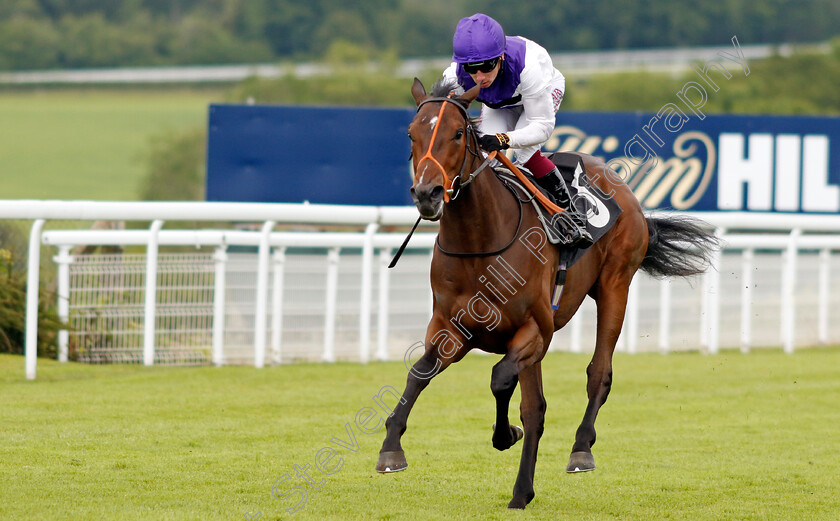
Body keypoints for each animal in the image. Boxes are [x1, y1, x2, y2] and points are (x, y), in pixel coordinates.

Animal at [378, 78, 720, 508]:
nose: (427, 193)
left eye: (456, 133)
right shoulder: (450, 329)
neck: (480, 243)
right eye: (412, 134)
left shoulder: (534, 330)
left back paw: (580, 451)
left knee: (598, 373)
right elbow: (419, 374)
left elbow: (500, 380)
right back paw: (523, 490)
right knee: (537, 406)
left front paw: (506, 435)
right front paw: (391, 448)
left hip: (615, 287)